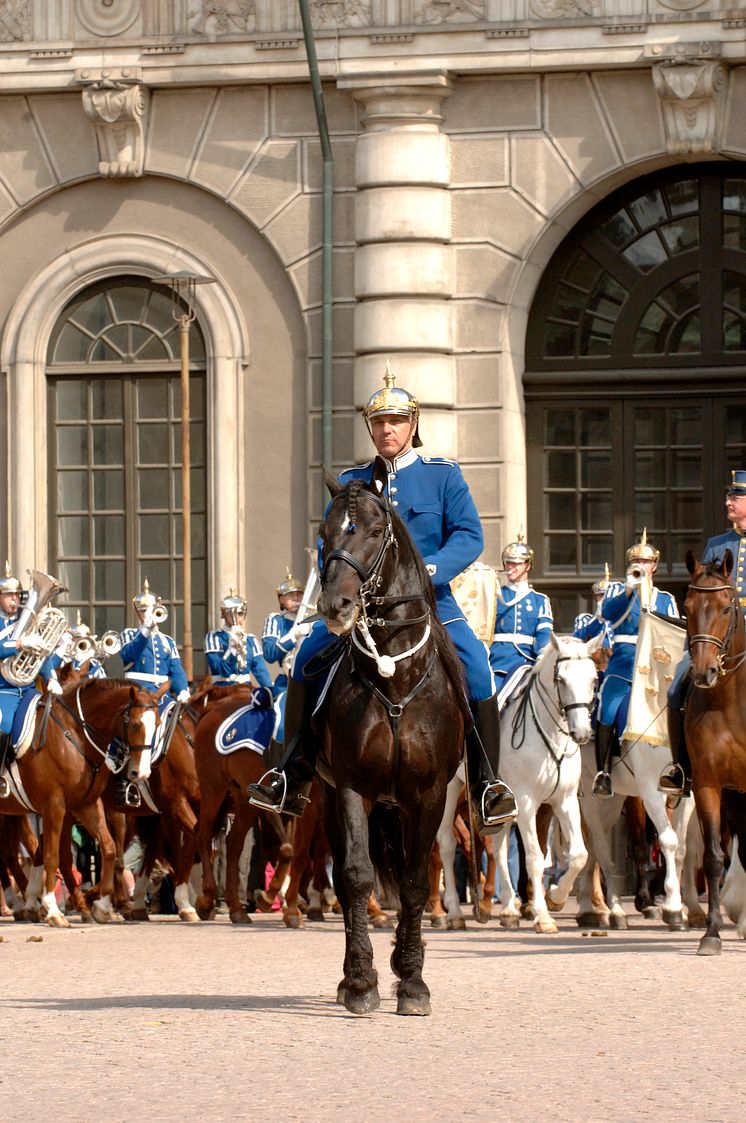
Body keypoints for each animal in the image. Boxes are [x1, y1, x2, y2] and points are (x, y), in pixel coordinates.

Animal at [0, 678, 162, 925]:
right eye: (135, 725)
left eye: (158, 724)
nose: (141, 773)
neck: (75, 736)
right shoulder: (54, 806)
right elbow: (52, 855)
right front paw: (53, 910)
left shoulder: (85, 805)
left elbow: (108, 849)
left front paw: (101, 906)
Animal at [314, 469, 467, 1015]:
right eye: (325, 533)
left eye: (376, 531)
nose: (335, 607)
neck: (395, 677)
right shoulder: (351, 787)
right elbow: (358, 876)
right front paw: (362, 982)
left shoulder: (430, 794)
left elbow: (417, 880)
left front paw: (413, 981)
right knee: (348, 876)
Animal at [492, 637, 602, 934]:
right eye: (561, 679)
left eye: (594, 678)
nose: (582, 732)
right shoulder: (526, 802)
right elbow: (534, 858)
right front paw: (542, 916)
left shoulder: (565, 800)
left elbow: (579, 854)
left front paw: (556, 897)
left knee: (499, 848)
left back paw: (508, 908)